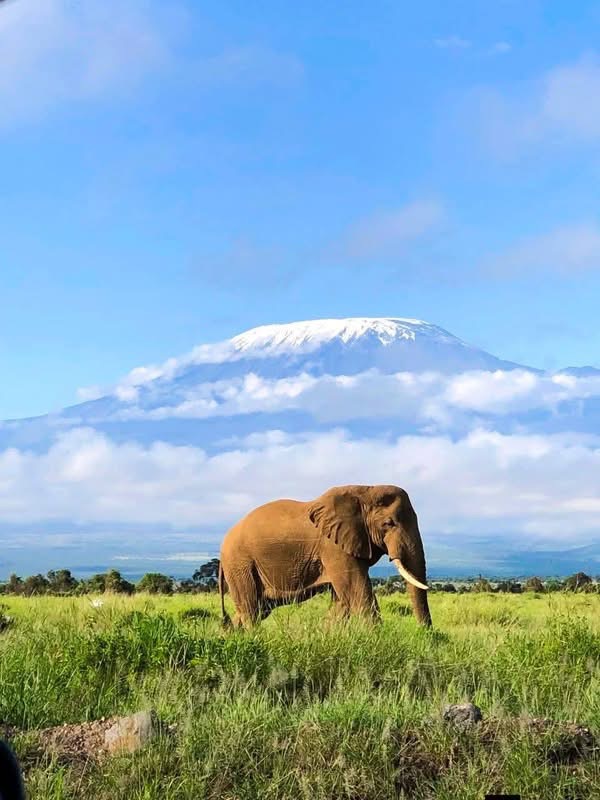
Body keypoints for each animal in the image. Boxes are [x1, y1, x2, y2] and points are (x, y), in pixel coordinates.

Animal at [218, 484, 431, 628]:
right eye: (389, 523)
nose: (424, 635)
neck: (364, 490)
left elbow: (342, 602)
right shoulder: (333, 547)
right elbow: (357, 594)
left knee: (253, 609)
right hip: (240, 565)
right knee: (251, 610)